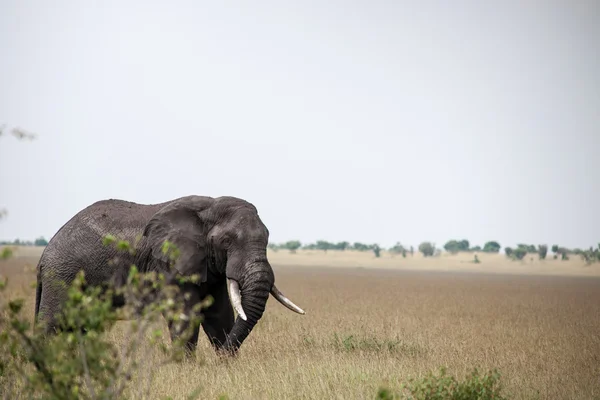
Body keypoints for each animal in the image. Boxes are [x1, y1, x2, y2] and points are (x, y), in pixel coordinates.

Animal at [34, 195, 304, 354]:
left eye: (267, 238)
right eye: (226, 241)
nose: (224, 356)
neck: (209, 207)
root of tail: (43, 256)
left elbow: (218, 313)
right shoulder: (168, 261)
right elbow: (185, 311)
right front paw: (186, 366)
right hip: (62, 274)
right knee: (53, 323)